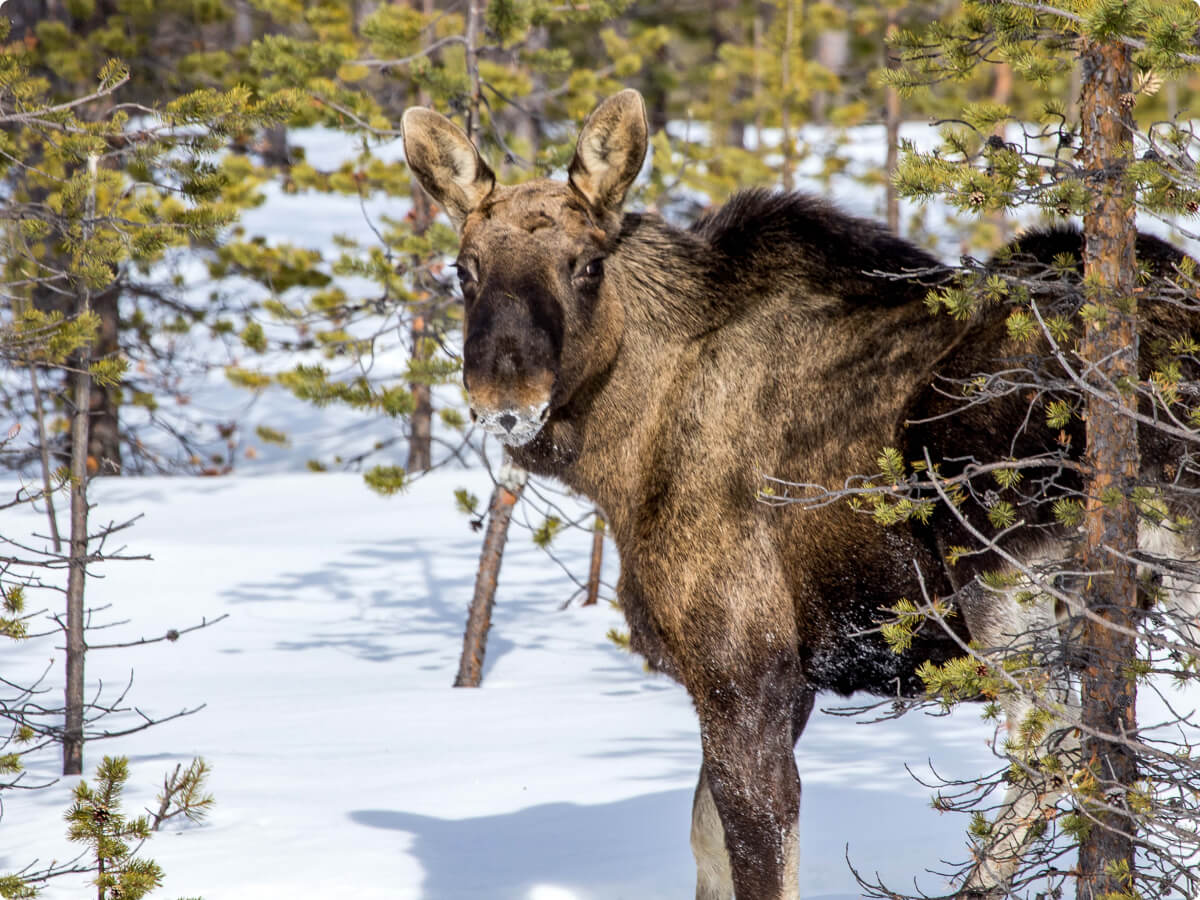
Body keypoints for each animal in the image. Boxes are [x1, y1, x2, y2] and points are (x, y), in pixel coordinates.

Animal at [405, 93, 1200, 900]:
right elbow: (707, 843)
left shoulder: (745, 670)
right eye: (464, 270)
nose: (505, 400)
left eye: (588, 266)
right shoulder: (789, 687)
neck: (622, 458)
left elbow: (758, 849)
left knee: (1054, 746)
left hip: (998, 558)